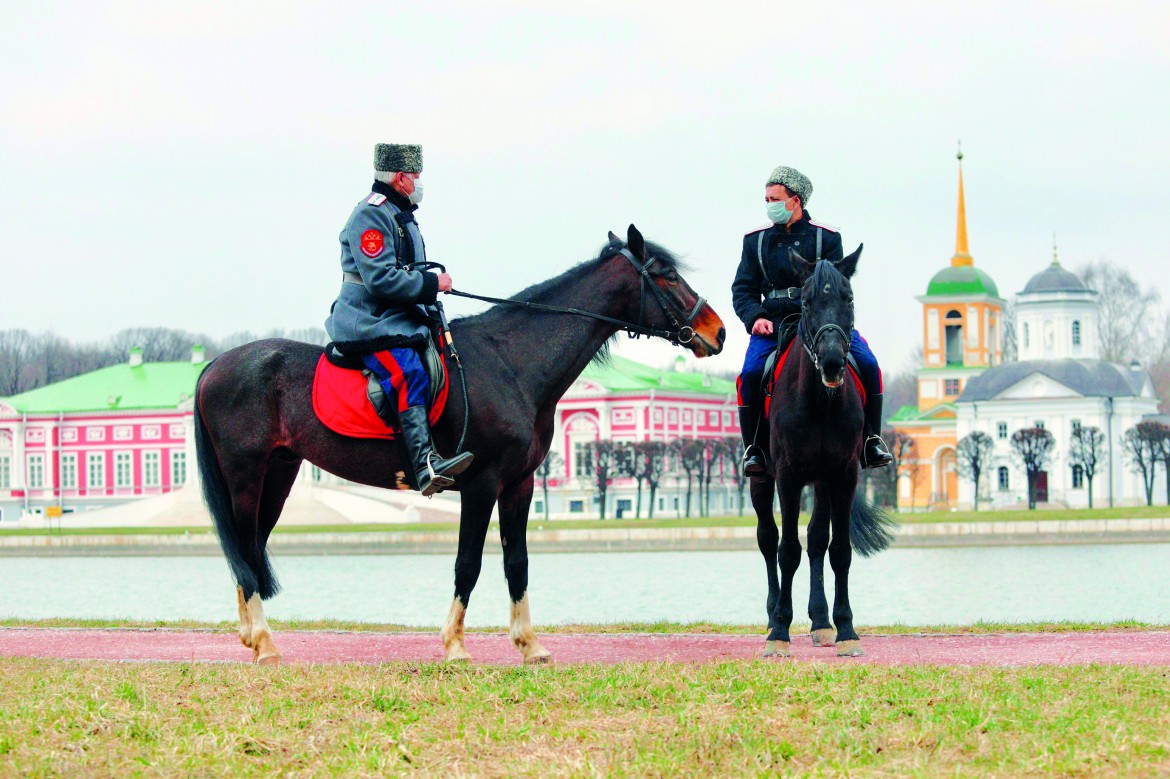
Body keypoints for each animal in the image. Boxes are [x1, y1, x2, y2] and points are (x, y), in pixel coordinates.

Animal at [196, 223, 725, 659]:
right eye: (666, 274)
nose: (716, 332)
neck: (510, 362)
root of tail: (214, 364)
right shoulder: (481, 483)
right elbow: (467, 562)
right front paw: (454, 645)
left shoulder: (519, 484)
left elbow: (517, 561)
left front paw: (530, 645)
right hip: (247, 476)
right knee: (244, 547)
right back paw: (263, 642)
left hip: (278, 476)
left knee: (251, 546)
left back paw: (253, 636)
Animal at [748, 246, 893, 655]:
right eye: (807, 302)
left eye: (849, 298)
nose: (831, 361)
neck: (820, 402)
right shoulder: (787, 476)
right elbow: (786, 550)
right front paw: (780, 631)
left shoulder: (842, 475)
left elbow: (837, 549)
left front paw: (845, 628)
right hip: (761, 480)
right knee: (768, 539)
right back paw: (772, 617)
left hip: (823, 483)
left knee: (816, 541)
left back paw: (821, 621)